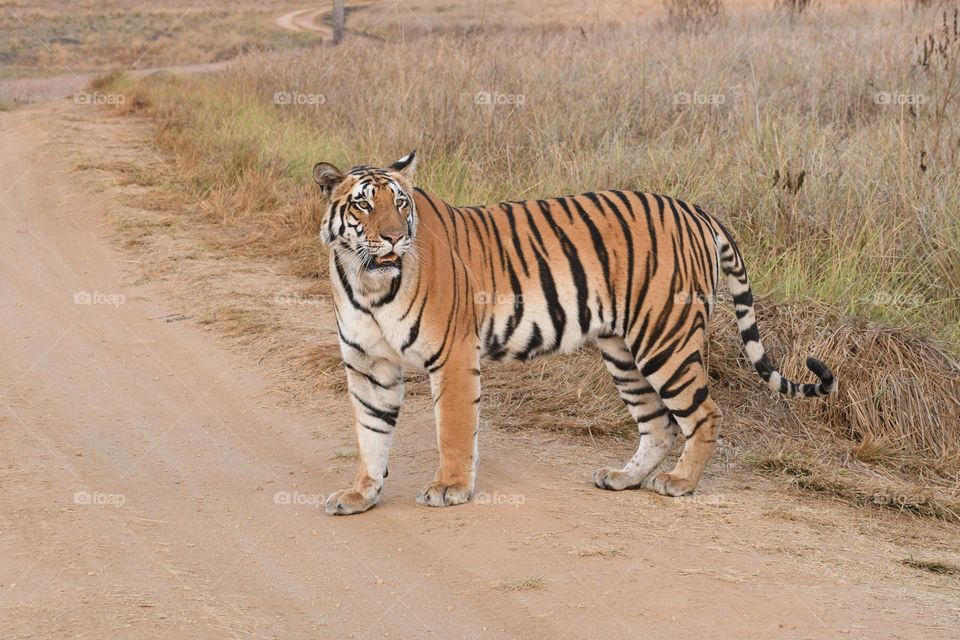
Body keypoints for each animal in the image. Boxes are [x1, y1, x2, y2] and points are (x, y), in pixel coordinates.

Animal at [314, 151, 836, 515]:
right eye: (364, 204)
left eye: (400, 203)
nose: (393, 236)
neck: (367, 282)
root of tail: (694, 209)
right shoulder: (368, 366)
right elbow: (371, 433)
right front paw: (360, 494)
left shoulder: (453, 354)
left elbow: (454, 429)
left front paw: (450, 488)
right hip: (623, 352)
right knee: (658, 423)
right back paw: (624, 477)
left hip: (664, 338)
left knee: (703, 413)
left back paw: (680, 483)